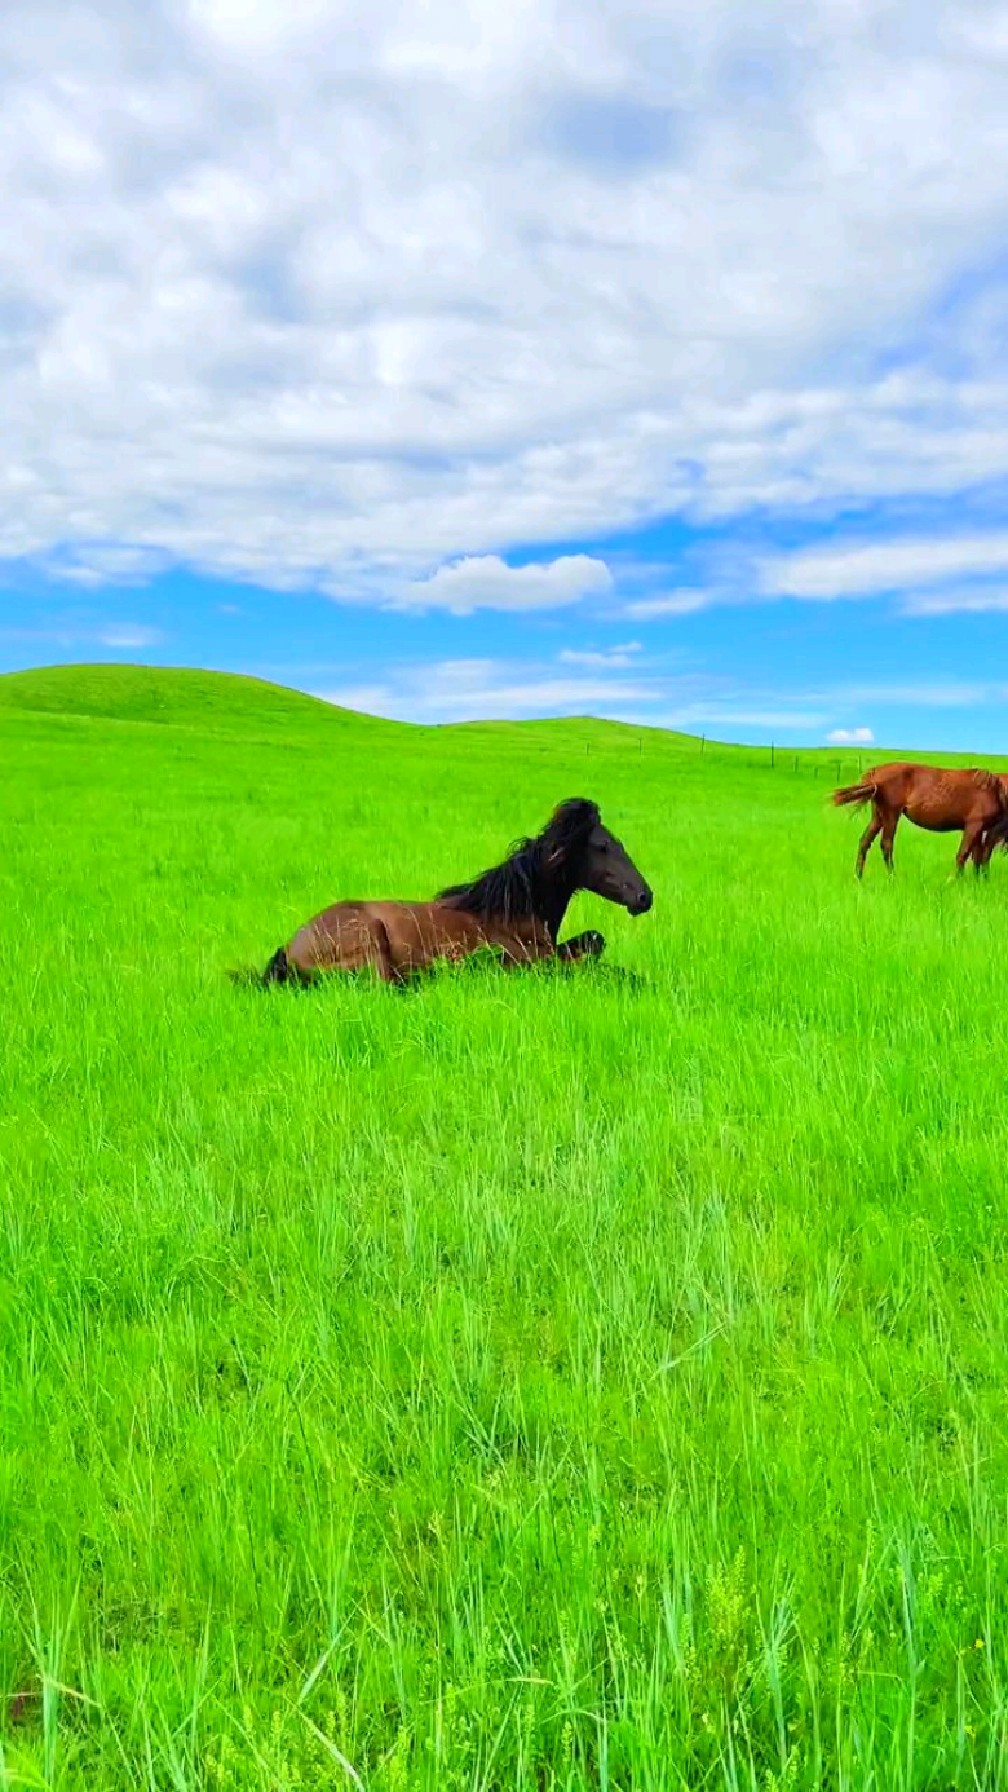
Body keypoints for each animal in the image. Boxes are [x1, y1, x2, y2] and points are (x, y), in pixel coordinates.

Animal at [243, 802, 652, 989]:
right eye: (602, 846)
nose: (645, 897)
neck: (509, 914)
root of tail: (289, 950)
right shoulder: (535, 963)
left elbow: (594, 942)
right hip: (371, 946)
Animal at [828, 759, 1004, 878]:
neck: (995, 788)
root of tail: (876, 772)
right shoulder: (974, 825)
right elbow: (965, 854)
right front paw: (956, 882)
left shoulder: (979, 829)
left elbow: (977, 857)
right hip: (891, 814)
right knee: (886, 844)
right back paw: (893, 877)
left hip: (878, 816)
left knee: (865, 842)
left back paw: (858, 877)